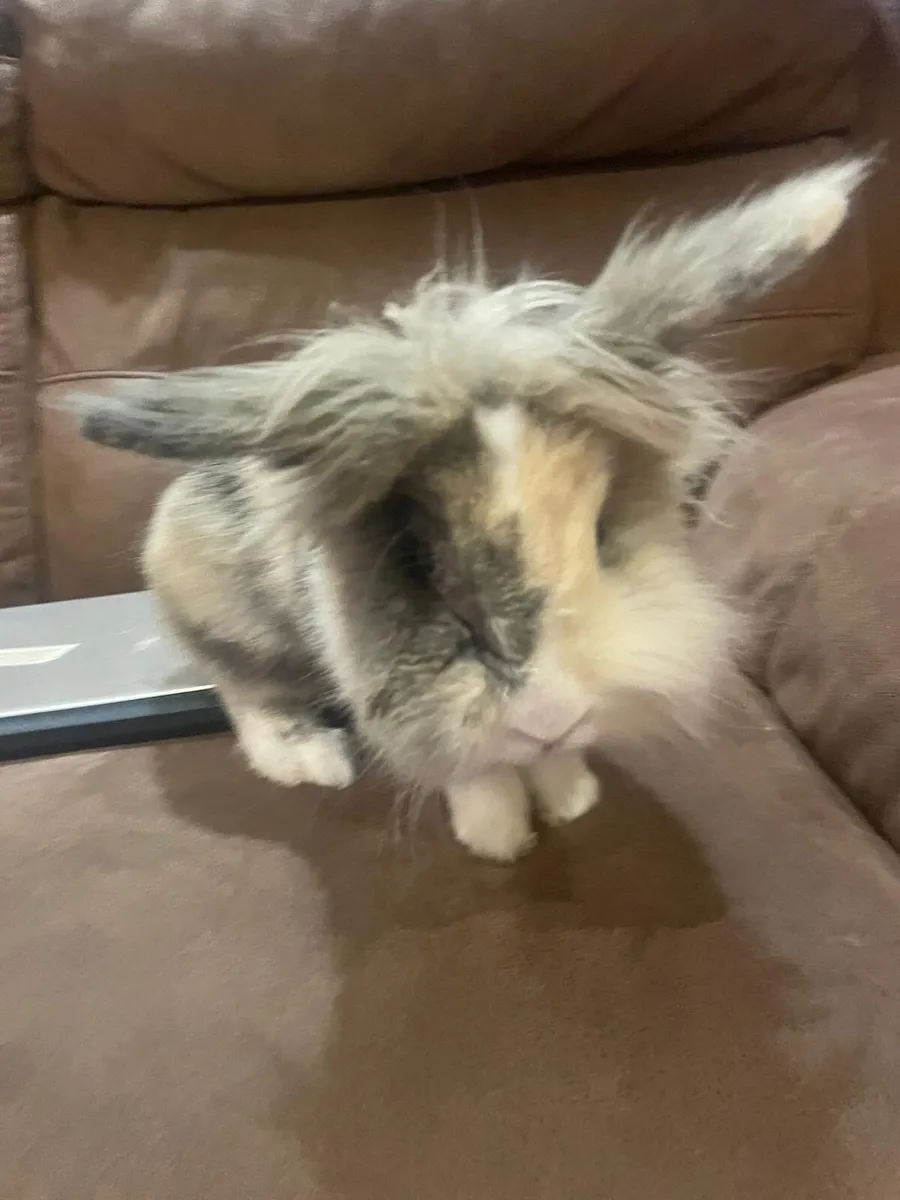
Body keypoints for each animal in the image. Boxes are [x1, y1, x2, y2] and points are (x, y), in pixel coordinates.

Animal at [73, 158, 868, 862]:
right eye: (420, 563)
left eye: (603, 535)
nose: (551, 718)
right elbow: (475, 766)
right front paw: (500, 838)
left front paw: (569, 797)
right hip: (226, 613)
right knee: (244, 689)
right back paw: (310, 758)